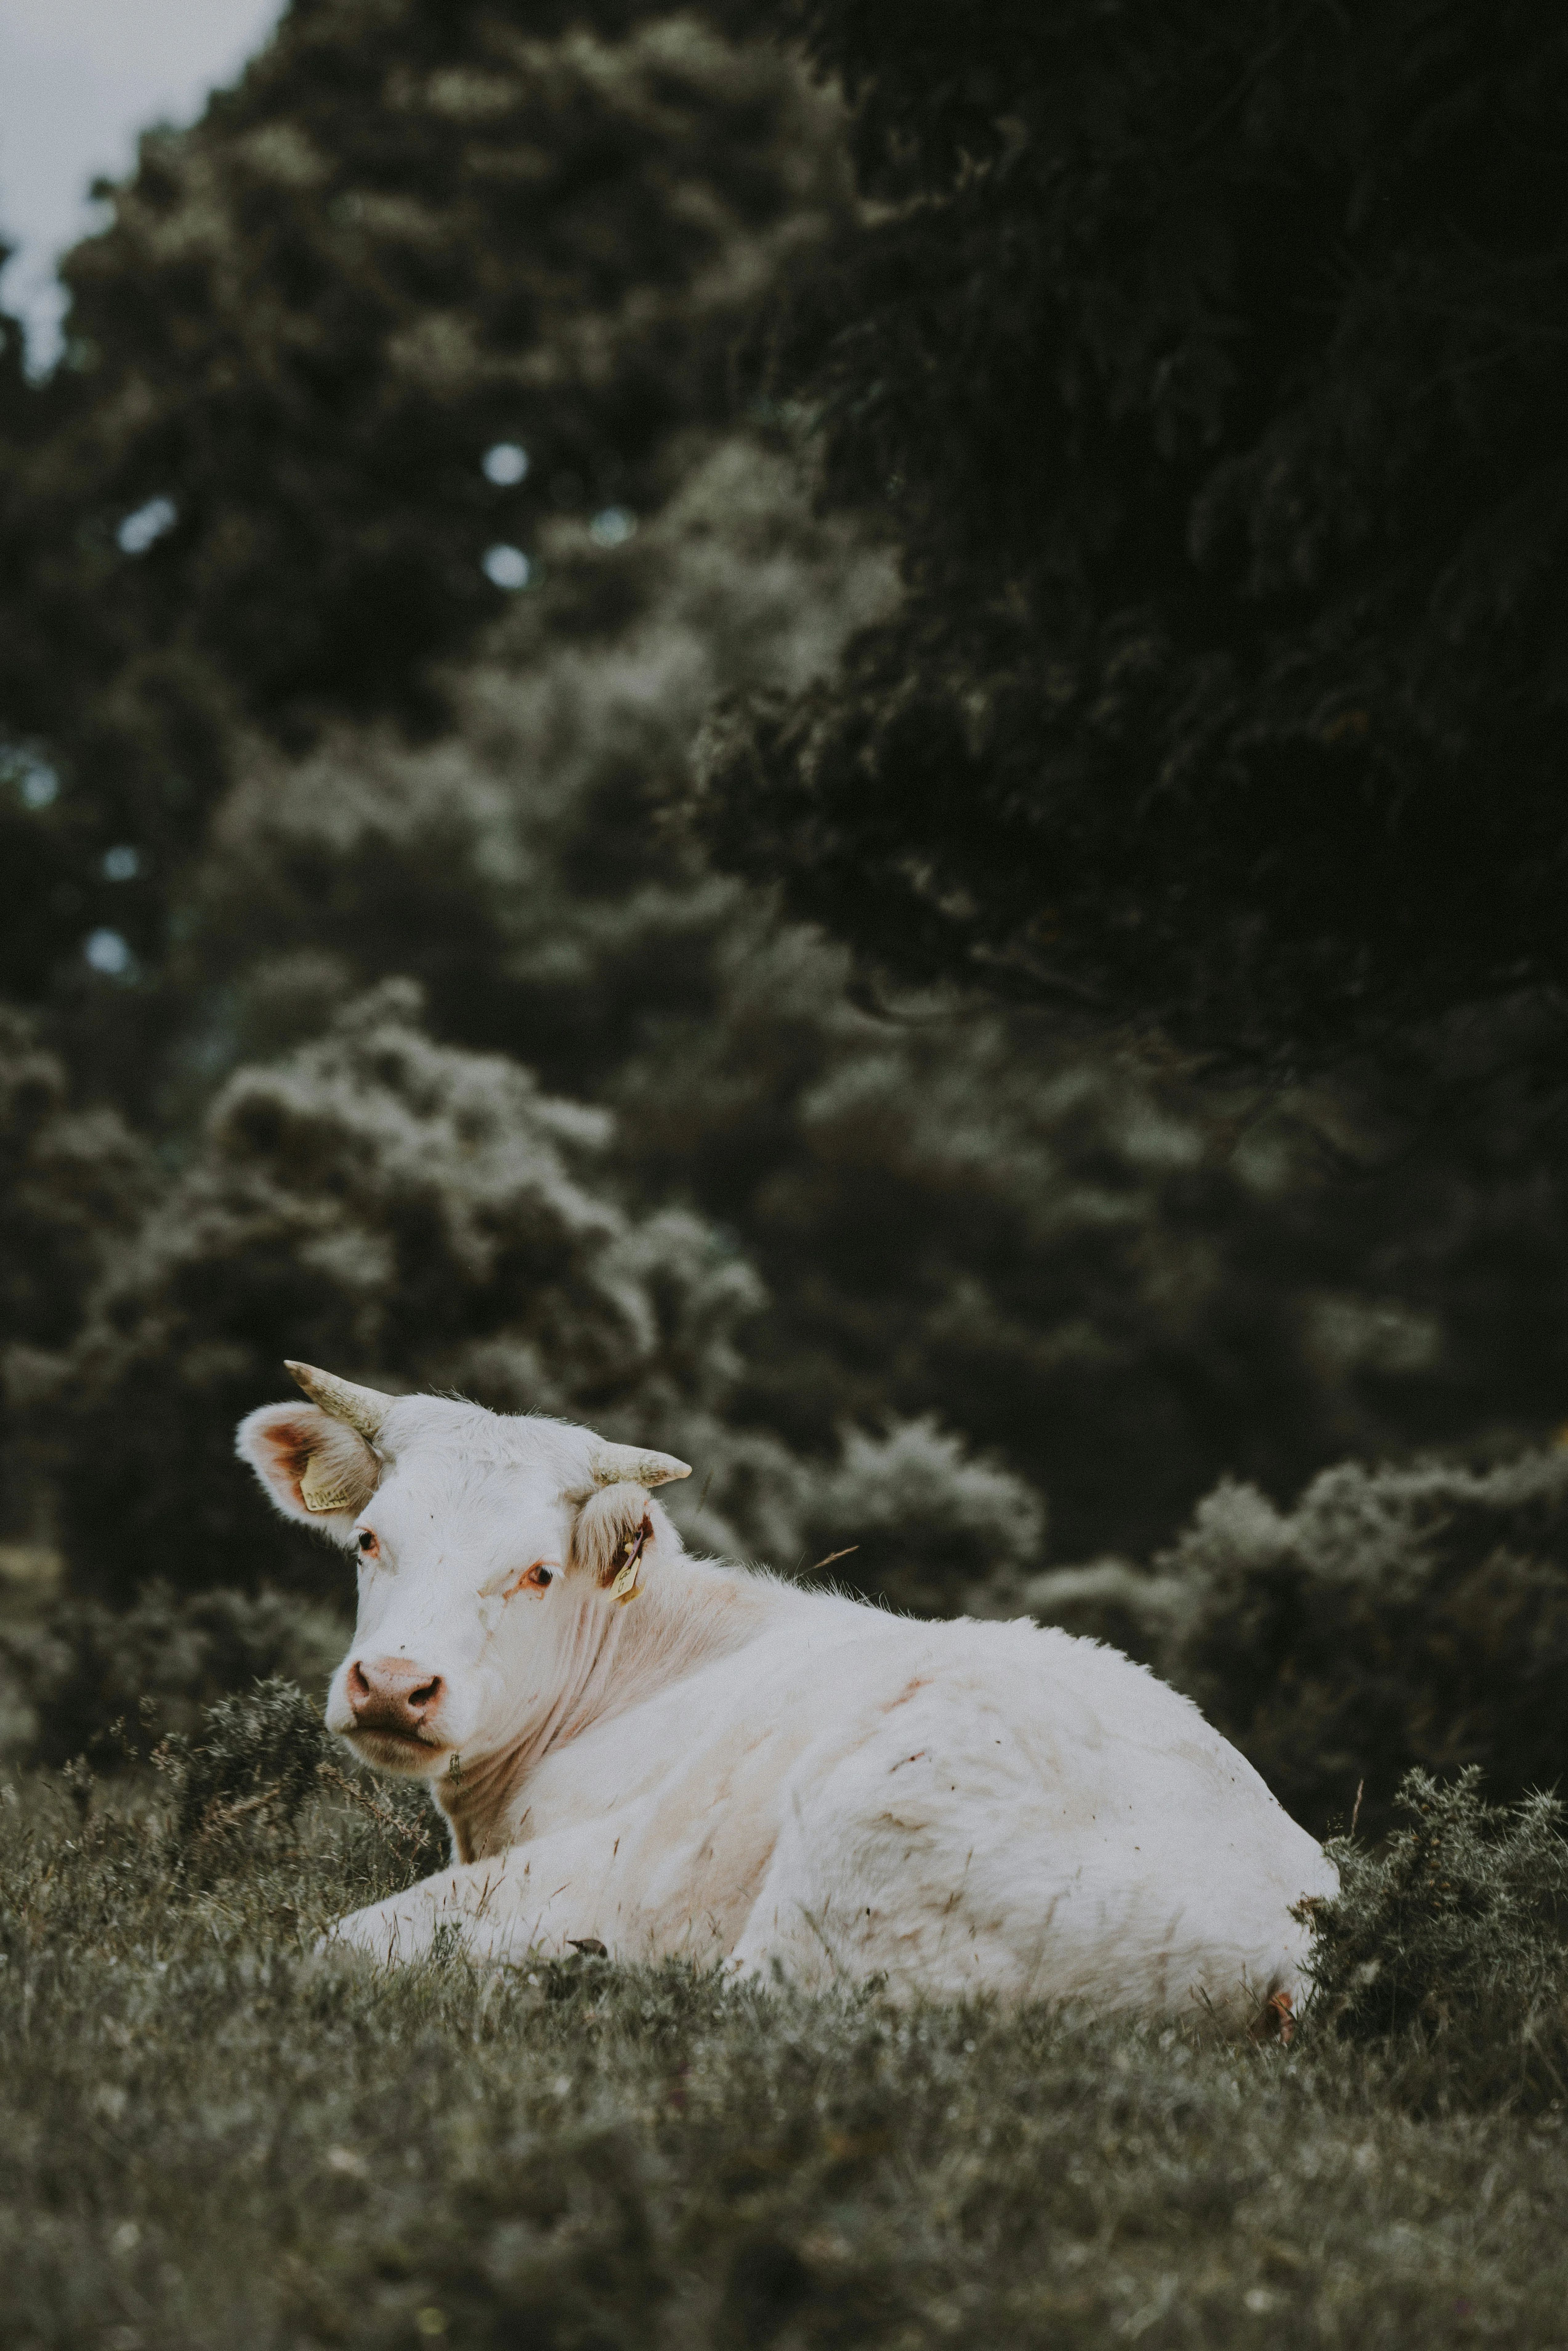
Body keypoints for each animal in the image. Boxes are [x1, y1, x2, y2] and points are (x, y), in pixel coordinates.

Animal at [238, 1362, 1335, 2022]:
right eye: (369, 1539)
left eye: (538, 1572)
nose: (394, 1686)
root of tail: (1297, 1939)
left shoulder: (604, 1861)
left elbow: (348, 1941)